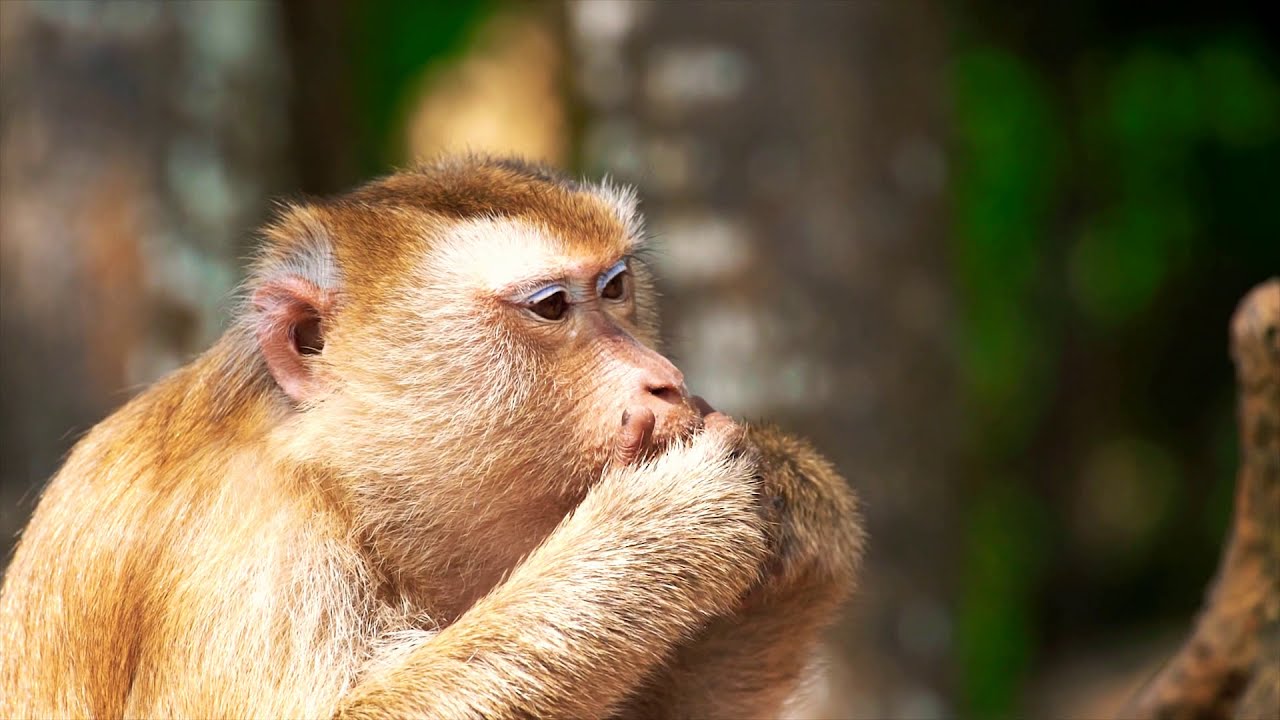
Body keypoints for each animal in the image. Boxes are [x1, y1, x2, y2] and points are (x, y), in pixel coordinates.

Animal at [0, 156, 863, 719]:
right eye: (552, 306)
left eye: (616, 288)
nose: (664, 379)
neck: (336, 477)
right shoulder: (255, 550)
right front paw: (663, 527)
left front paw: (796, 501)